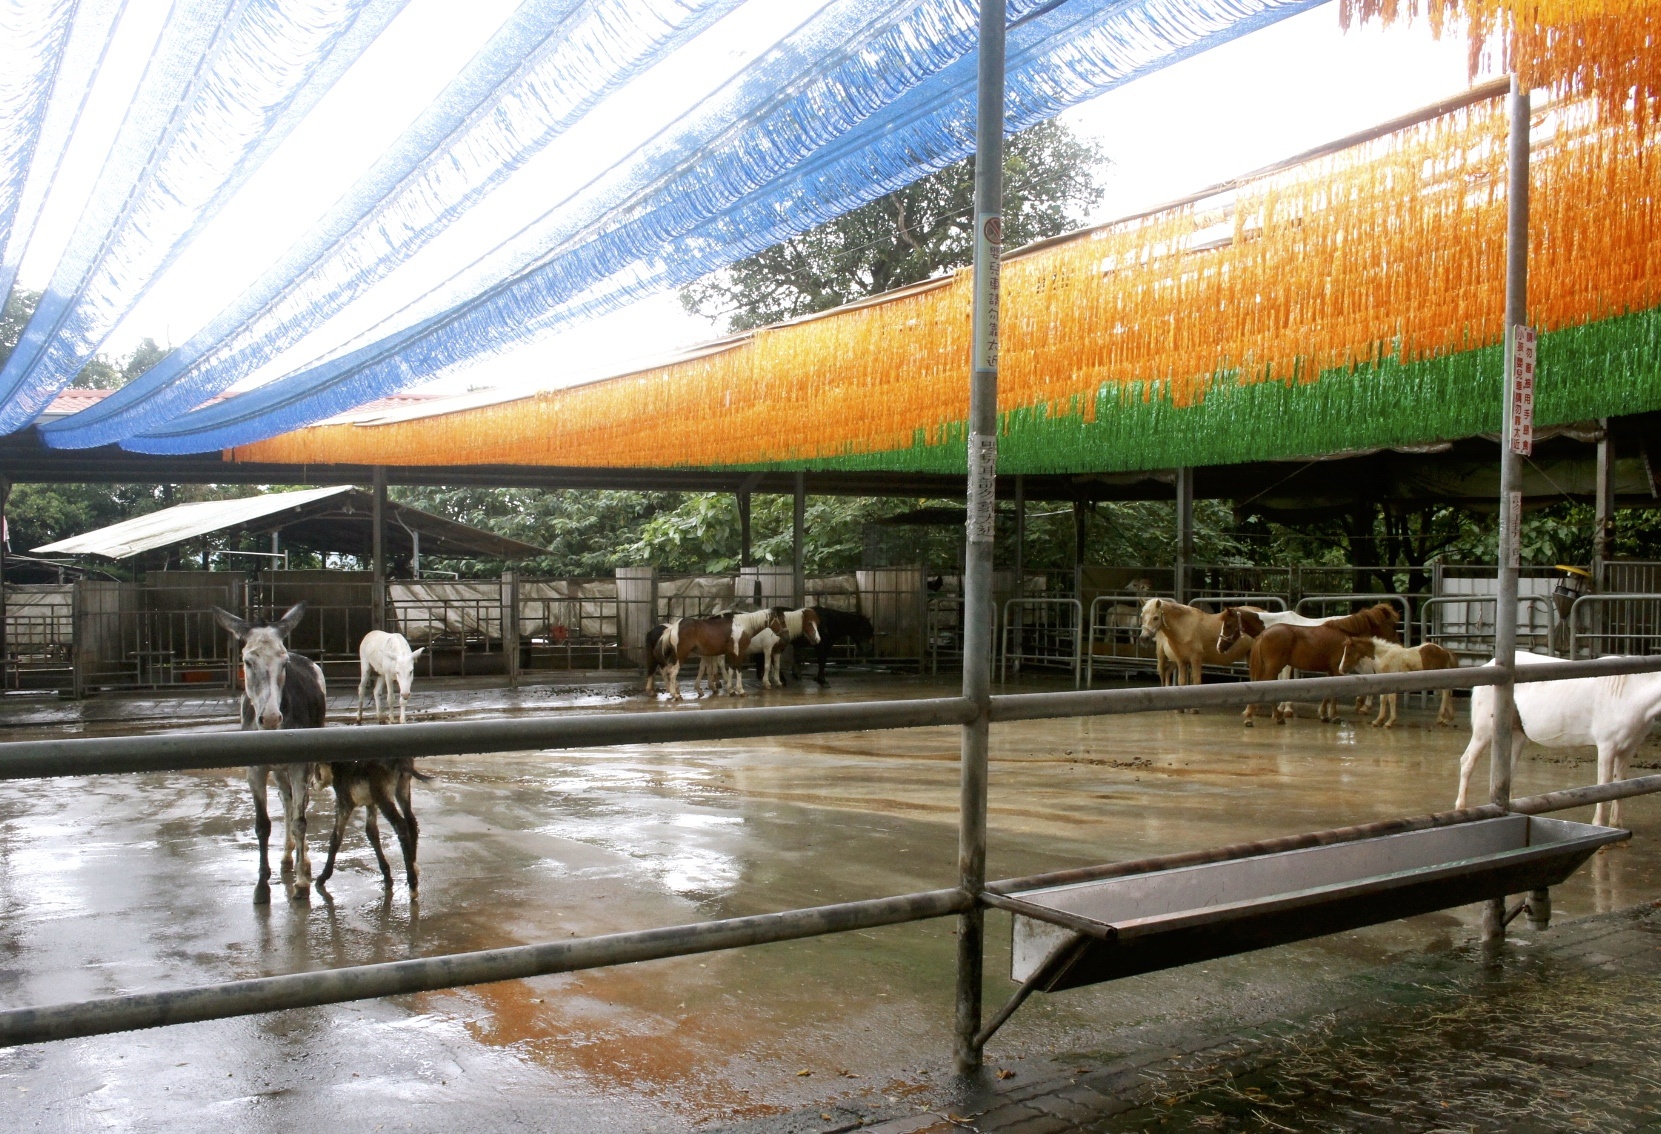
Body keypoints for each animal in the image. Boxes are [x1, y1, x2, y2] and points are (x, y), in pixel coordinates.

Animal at [210, 604, 320, 903]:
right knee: (286, 800)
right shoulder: (255, 769)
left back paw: (303, 862)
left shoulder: (300, 765)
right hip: (278, 771)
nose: (270, 718)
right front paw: (262, 886)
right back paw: (287, 857)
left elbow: (300, 821)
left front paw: (302, 884)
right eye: (248, 662)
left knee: (298, 805)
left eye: (284, 663)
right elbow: (263, 825)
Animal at [1455, 650, 1661, 830]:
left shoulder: (1628, 749)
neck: (1629, 693)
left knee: (1508, 770)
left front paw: (1616, 825)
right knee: (1467, 761)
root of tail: (1488, 666)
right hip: (1484, 730)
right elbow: (1605, 785)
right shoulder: (1607, 747)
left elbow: (1622, 784)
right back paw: (1461, 808)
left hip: (1517, 734)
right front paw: (1599, 824)